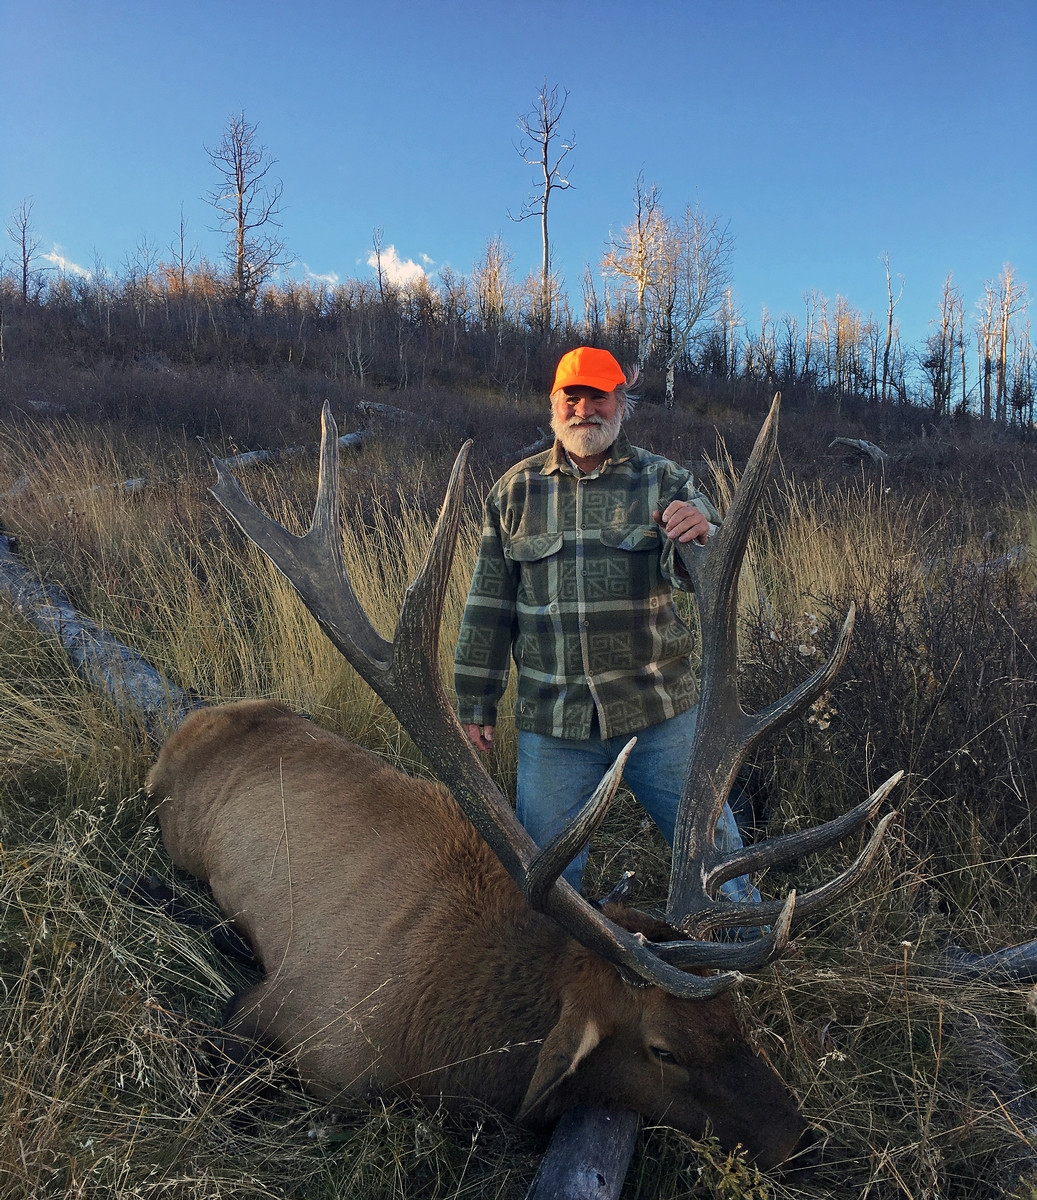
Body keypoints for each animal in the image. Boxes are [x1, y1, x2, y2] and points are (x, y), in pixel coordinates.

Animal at [147, 395, 901, 1173]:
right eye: (662, 1049)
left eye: (737, 1018)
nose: (800, 1138)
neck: (453, 1042)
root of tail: (196, 722)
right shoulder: (286, 1013)